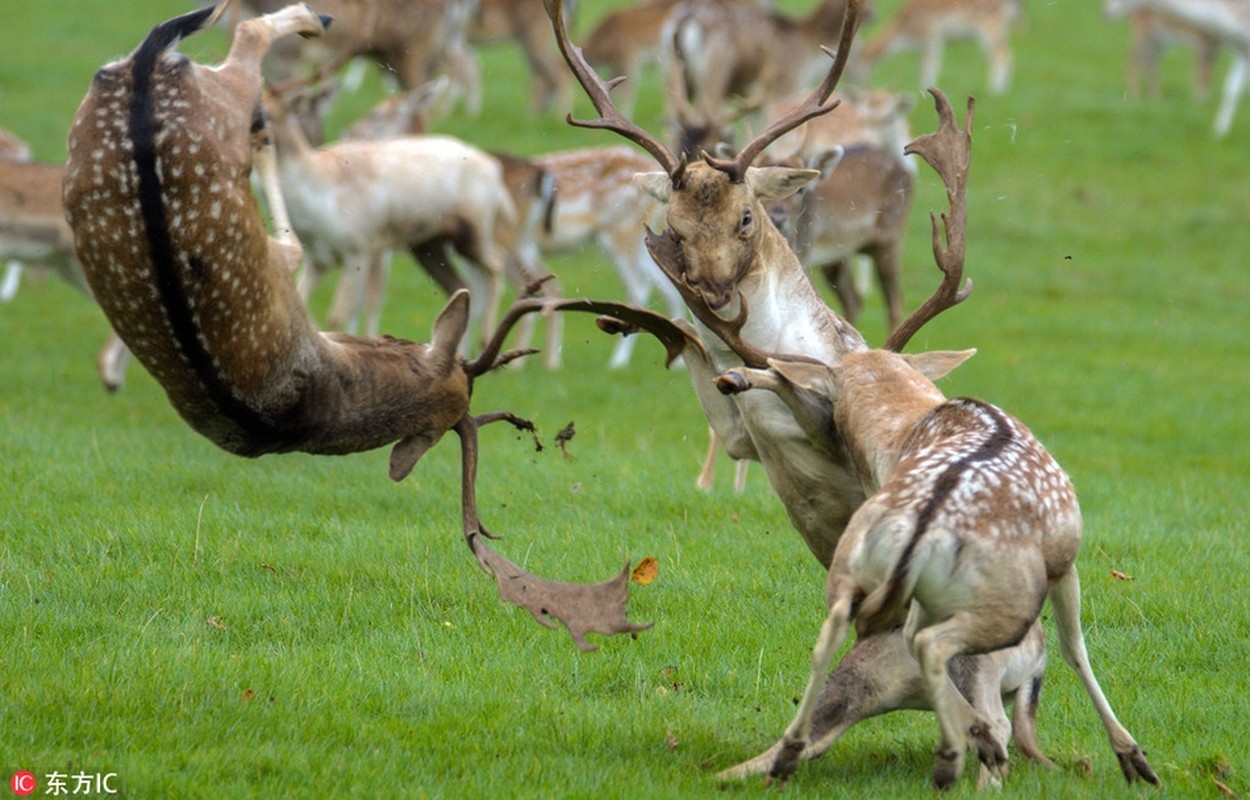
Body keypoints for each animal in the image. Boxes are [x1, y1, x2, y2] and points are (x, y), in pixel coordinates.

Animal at [60, 0, 705, 650]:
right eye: (441, 361)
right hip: (225, 112)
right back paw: (297, 36)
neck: (313, 398)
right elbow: (300, 251)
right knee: (245, 42)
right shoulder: (306, 261)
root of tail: (144, 77)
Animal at [715, 347, 1160, 790]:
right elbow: (1075, 649)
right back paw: (965, 752)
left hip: (857, 566)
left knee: (840, 636)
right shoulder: (1065, 561)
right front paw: (1132, 758)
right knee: (934, 647)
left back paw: (793, 751)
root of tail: (924, 524)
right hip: (1007, 600)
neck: (910, 425)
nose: (735, 379)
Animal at [860, 0, 1025, 95]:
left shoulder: (931, 35)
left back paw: (995, 90)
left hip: (989, 25)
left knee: (1002, 54)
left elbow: (930, 64)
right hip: (1002, 28)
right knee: (1007, 52)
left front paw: (925, 90)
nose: (864, 84)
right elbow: (923, 65)